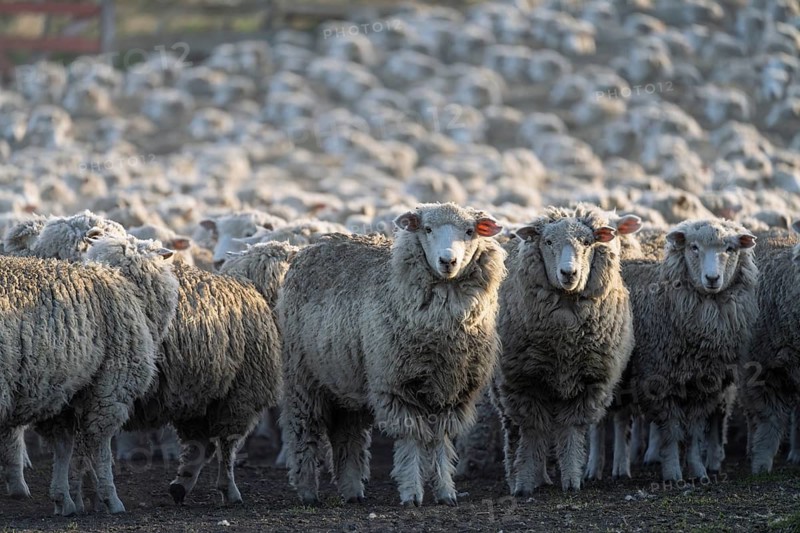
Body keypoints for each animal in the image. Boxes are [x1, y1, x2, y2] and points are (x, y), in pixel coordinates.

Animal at [0, 235, 177, 515]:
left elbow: (64, 447)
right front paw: (110, 499)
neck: (124, 283)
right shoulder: (110, 389)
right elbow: (100, 447)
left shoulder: (63, 393)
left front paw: (64, 499)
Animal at [278, 203, 506, 506]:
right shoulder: (396, 386)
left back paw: (352, 489)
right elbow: (411, 439)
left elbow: (439, 441)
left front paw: (445, 491)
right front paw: (411, 492)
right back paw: (307, 490)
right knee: (304, 431)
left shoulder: (450, 392)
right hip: (302, 377)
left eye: (470, 231)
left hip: (347, 379)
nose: (448, 261)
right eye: (427, 229)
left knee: (348, 435)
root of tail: (313, 246)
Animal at [493, 205, 641, 494]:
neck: (565, 340)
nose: (568, 273)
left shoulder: (587, 383)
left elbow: (571, 432)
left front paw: (572, 479)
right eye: (548, 242)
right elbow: (530, 434)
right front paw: (524, 482)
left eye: (587, 242)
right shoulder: (524, 383)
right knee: (516, 431)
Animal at [621, 219, 759, 481]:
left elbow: (694, 432)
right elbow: (672, 431)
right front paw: (673, 473)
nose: (712, 278)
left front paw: (698, 471)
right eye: (694, 247)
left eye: (730, 249)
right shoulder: (659, 381)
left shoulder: (705, 384)